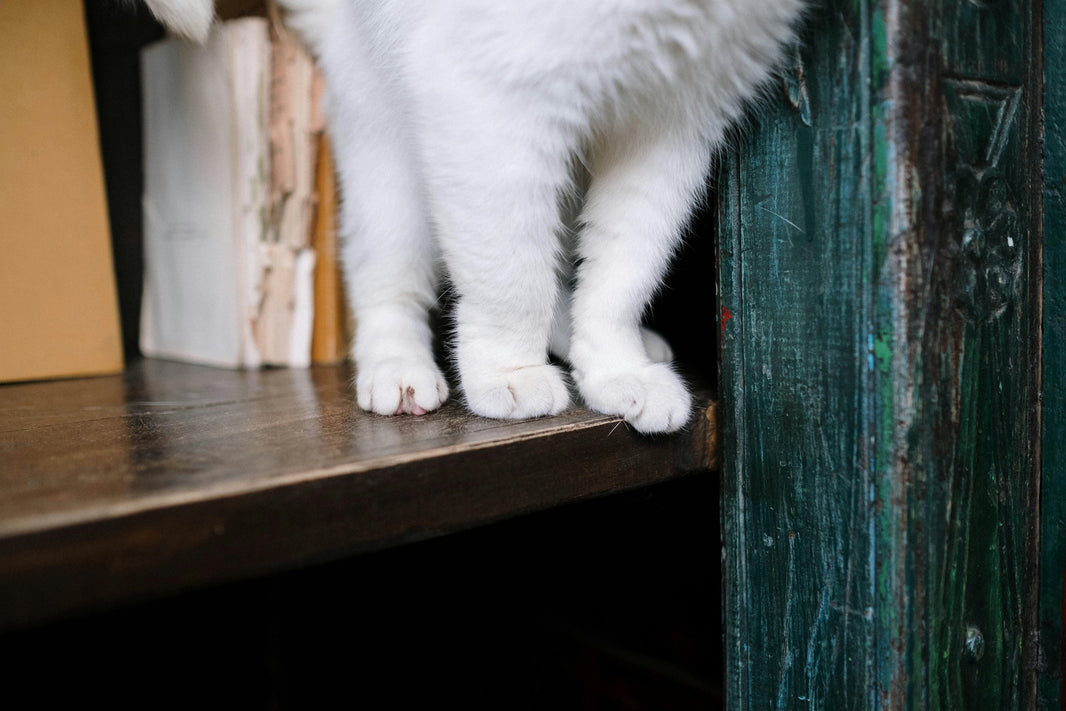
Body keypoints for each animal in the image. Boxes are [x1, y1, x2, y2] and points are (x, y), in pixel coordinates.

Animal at [139, 0, 801, 434]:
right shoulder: (490, 97)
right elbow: (511, 285)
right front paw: (508, 374)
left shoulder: (673, 125)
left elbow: (622, 274)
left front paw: (616, 370)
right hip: (399, 165)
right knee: (390, 284)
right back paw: (401, 370)